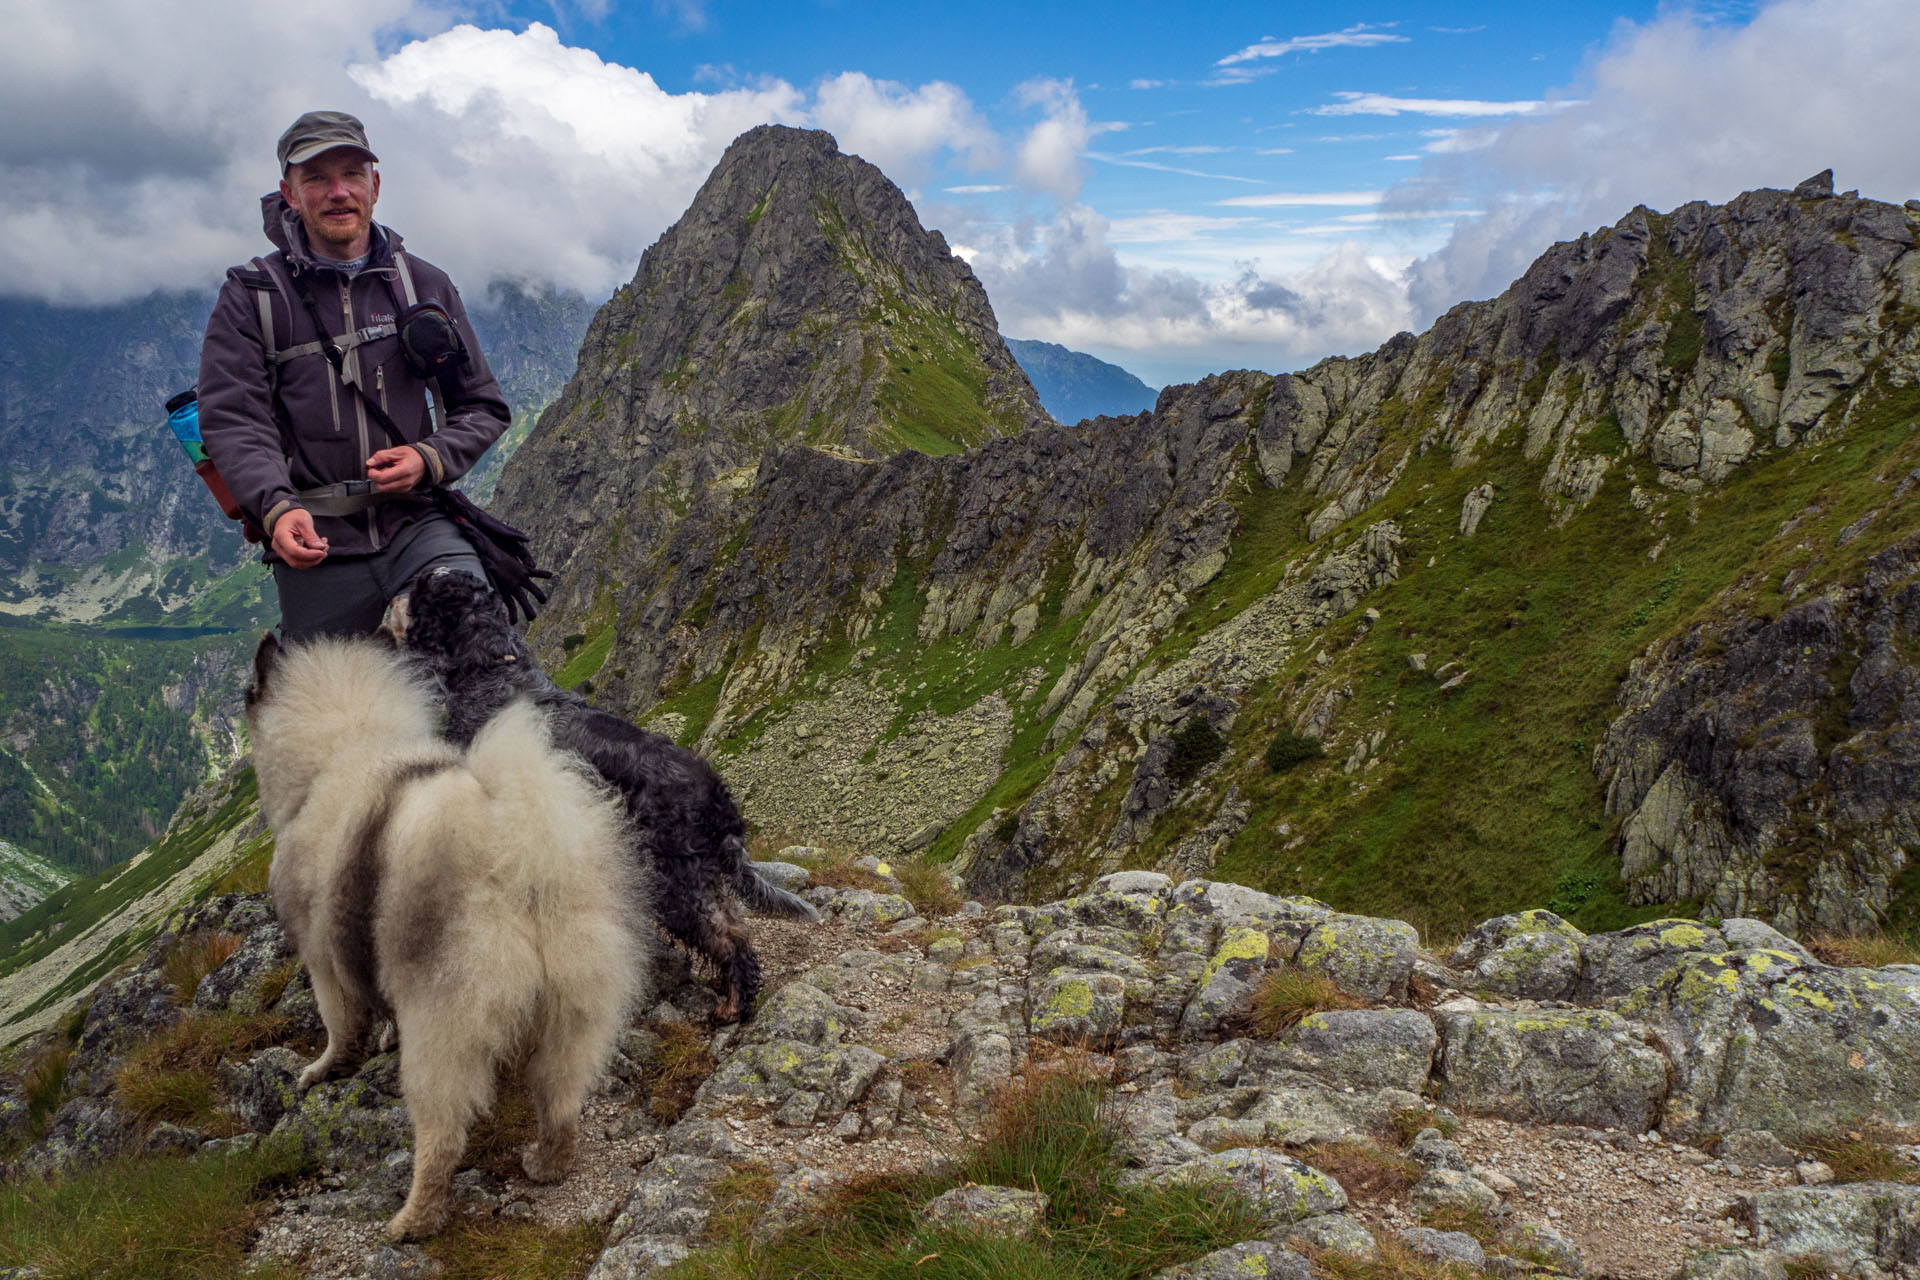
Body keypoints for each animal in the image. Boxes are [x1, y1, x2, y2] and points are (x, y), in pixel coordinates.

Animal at [241, 637, 637, 1243]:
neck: (347, 745)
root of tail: (515, 842)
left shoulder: (323, 960)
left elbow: (339, 1027)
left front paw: (323, 1070)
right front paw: (381, 1037)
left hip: (443, 1028)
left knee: (442, 1136)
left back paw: (412, 1221)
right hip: (571, 1013)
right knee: (560, 1102)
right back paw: (546, 1164)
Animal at [385, 571, 814, 1020]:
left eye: (419, 589)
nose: (392, 595)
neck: (492, 669)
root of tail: (715, 791)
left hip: (677, 878)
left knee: (726, 934)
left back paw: (731, 1007)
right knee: (735, 927)